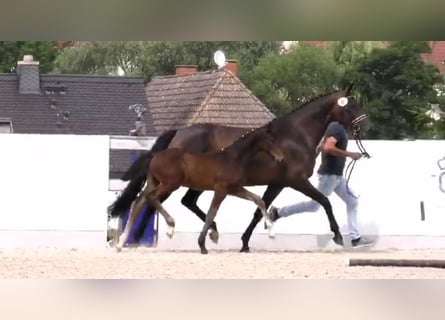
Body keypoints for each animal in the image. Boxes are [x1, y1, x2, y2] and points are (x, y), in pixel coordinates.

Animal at [113, 121, 280, 254]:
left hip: (154, 182)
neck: (233, 158)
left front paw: (271, 233)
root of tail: (155, 156)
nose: (280, 158)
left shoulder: (235, 189)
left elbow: (259, 200)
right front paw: (203, 245)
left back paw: (120, 244)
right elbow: (211, 213)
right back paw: (170, 228)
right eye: (271, 139)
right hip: (170, 184)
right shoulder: (221, 190)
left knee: (139, 202)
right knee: (151, 198)